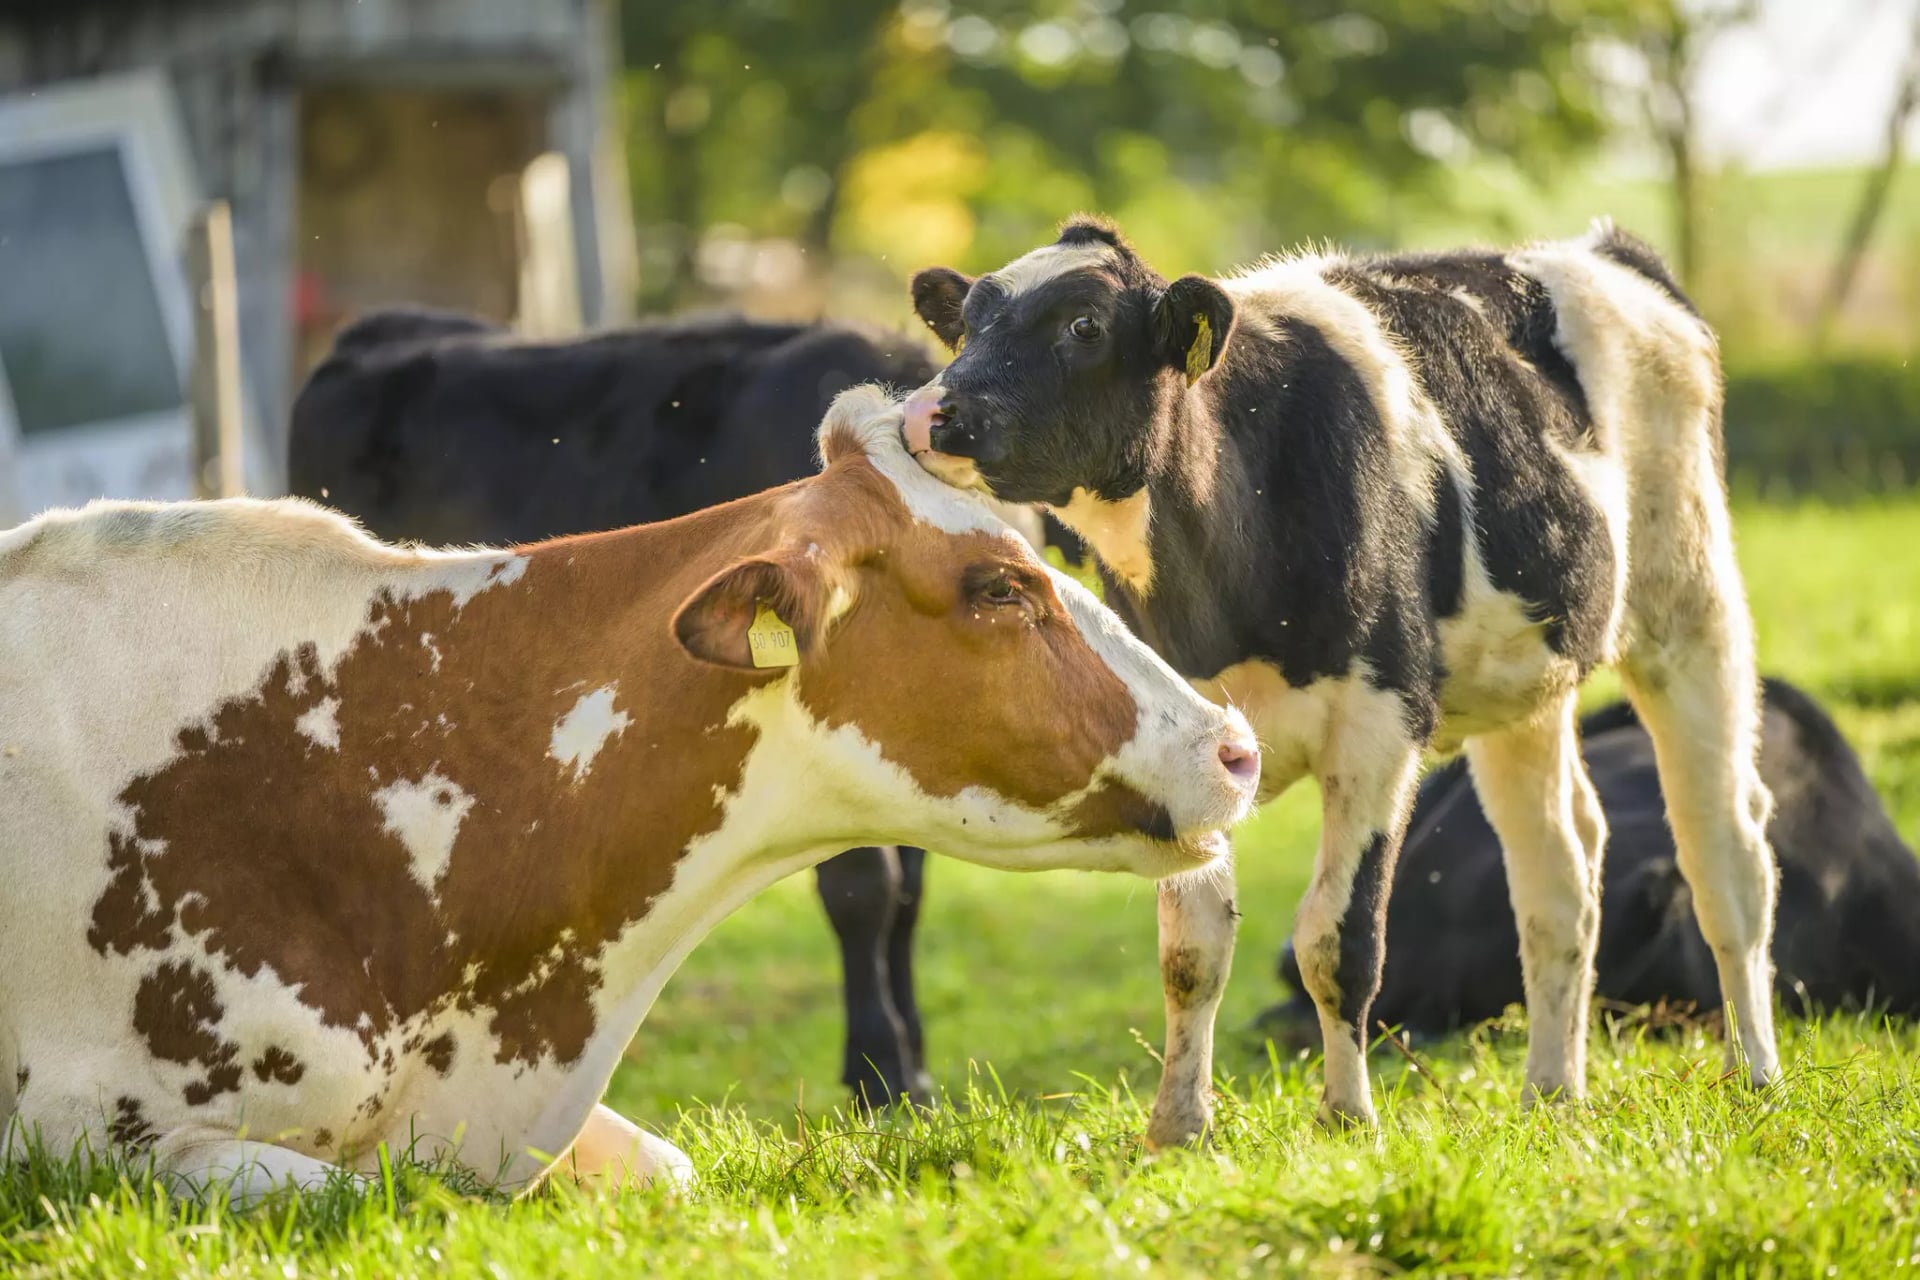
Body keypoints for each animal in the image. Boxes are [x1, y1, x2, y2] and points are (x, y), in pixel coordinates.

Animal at [902, 215, 1783, 1146]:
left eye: (1083, 326)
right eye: (967, 324)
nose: (930, 412)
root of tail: (1599, 247)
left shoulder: (1379, 728)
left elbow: (1339, 941)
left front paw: (1347, 1116)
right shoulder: (1186, 742)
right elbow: (1191, 949)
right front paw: (1178, 1127)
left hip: (1691, 608)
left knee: (1727, 855)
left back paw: (1754, 1073)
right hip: (1526, 687)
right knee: (1560, 877)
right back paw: (1552, 1090)